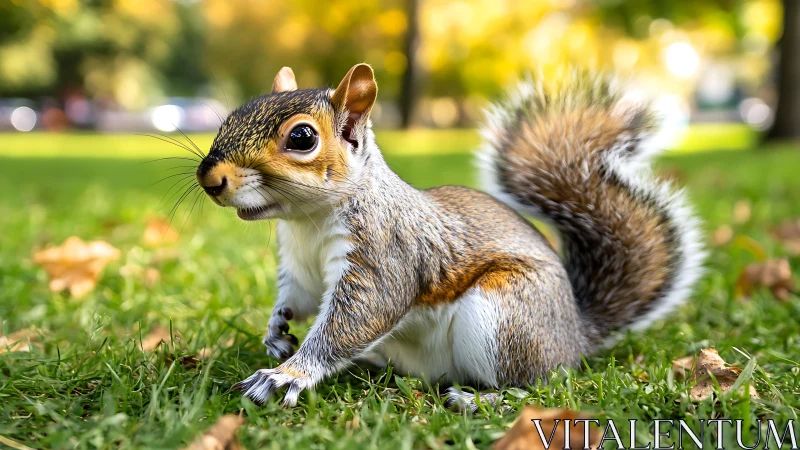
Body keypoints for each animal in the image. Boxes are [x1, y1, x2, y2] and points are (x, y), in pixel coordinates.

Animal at [195, 64, 705, 409]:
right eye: (232, 116)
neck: (308, 222)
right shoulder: (300, 266)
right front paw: (276, 332)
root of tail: (575, 336)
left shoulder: (385, 252)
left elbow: (358, 317)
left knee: (536, 385)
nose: (209, 177)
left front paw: (288, 375)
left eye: (302, 138)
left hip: (506, 317)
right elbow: (296, 298)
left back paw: (480, 400)